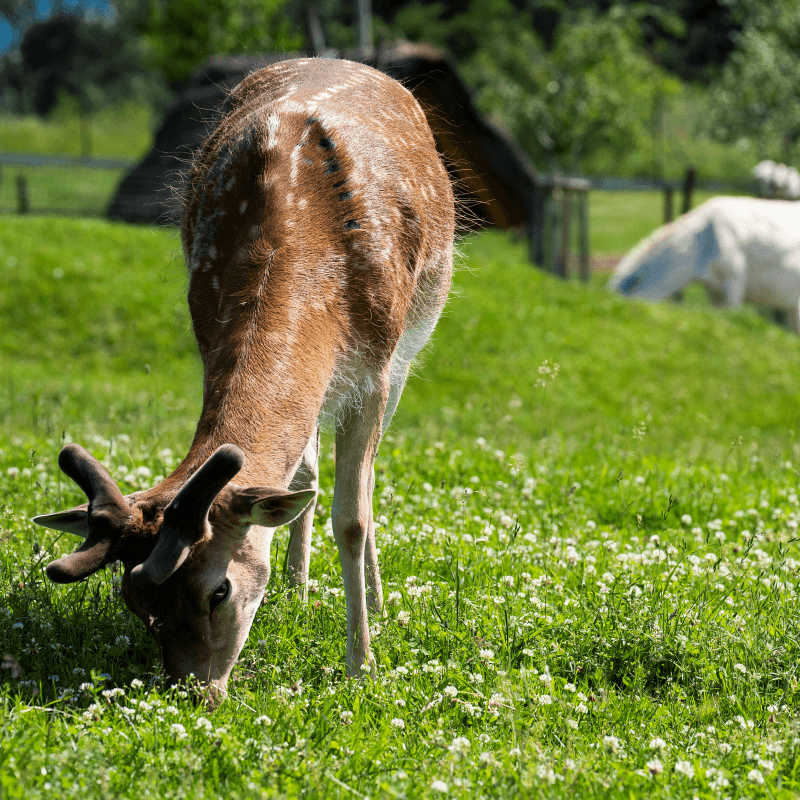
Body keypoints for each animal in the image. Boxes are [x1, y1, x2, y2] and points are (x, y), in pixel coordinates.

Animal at [31, 56, 454, 696]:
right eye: (135, 605)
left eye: (218, 590)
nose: (196, 692)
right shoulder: (208, 329)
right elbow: (304, 480)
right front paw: (303, 597)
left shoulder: (375, 370)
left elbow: (353, 515)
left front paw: (362, 666)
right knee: (305, 473)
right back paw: (298, 588)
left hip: (412, 337)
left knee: (366, 476)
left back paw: (378, 605)